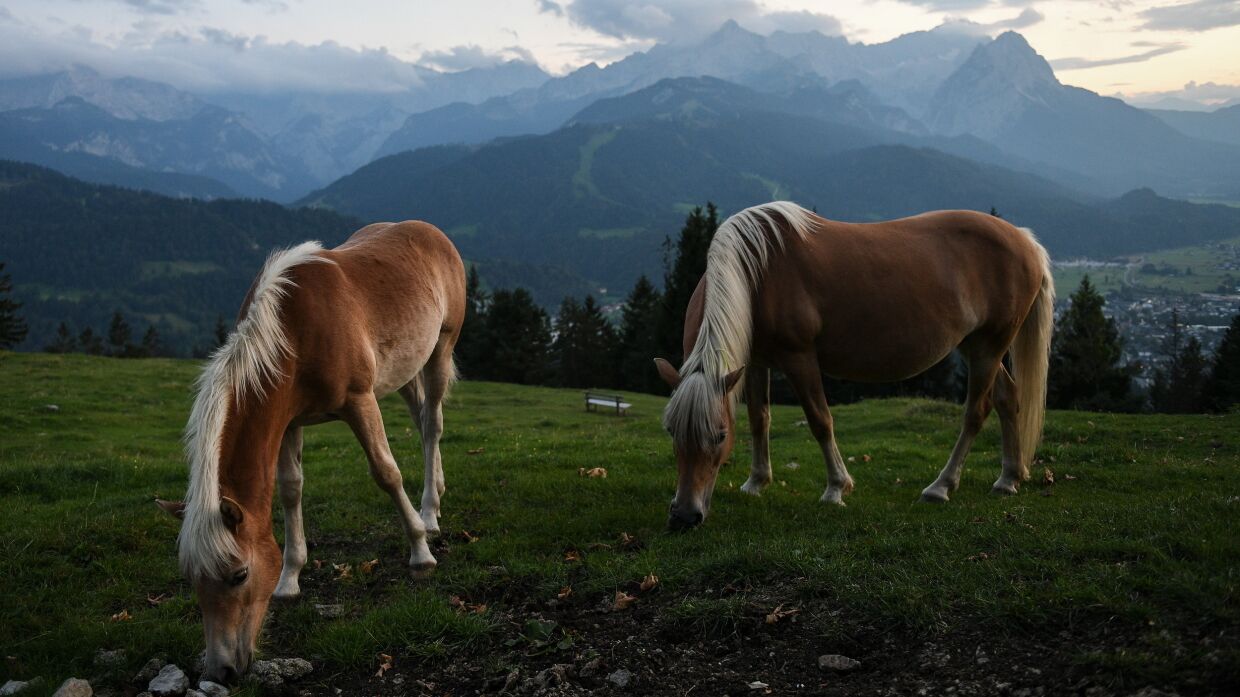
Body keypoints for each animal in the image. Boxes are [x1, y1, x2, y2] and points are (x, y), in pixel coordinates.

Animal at [155, 219, 466, 679]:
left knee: (432, 426)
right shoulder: (288, 422)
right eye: (192, 580)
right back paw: (437, 500)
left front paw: (420, 553)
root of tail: (431, 232)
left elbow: (386, 472)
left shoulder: (359, 401)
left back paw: (428, 514)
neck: (294, 332)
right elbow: (290, 489)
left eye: (239, 574)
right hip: (408, 365)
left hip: (440, 349)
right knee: (422, 415)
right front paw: (290, 578)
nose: (221, 670)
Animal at [654, 199, 1051, 525]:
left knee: (976, 411)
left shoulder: (799, 358)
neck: (759, 273)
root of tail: (1025, 240)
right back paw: (1009, 479)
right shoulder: (754, 363)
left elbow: (820, 420)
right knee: (1008, 398)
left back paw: (941, 486)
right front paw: (756, 482)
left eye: (719, 435)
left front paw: (836, 488)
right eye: (671, 430)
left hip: (989, 346)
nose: (685, 515)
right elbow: (758, 419)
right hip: (976, 345)